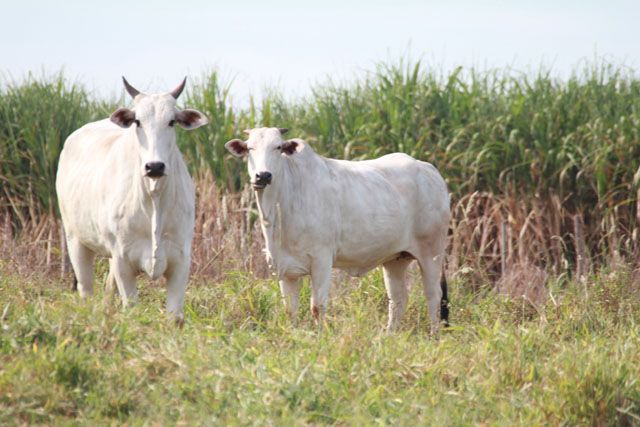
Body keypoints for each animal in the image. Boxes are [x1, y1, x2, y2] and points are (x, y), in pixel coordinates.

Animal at [56, 77, 209, 324]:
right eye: (137, 121)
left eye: (172, 122)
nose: (154, 166)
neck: (154, 200)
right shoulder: (123, 260)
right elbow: (131, 308)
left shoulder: (181, 260)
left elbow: (175, 317)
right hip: (75, 241)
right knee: (86, 290)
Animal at [225, 127, 450, 334]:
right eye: (250, 148)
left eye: (278, 147)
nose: (262, 175)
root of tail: (430, 170)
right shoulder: (285, 269)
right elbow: (290, 310)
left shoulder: (322, 260)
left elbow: (317, 307)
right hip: (395, 259)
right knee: (398, 299)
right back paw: (389, 335)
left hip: (432, 253)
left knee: (434, 296)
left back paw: (434, 335)